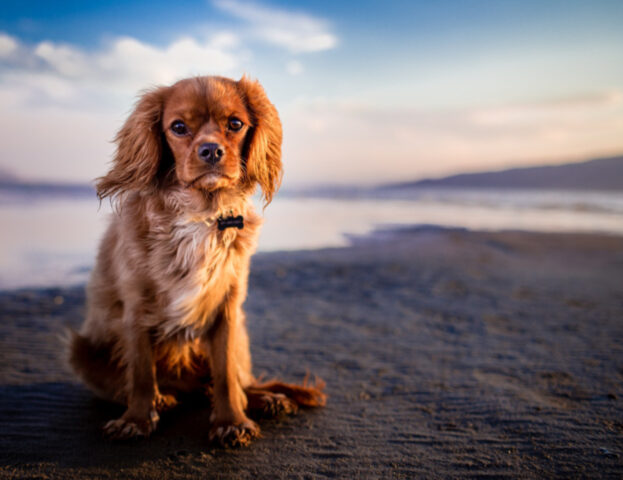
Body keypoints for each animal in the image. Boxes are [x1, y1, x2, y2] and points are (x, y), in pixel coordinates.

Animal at [69, 75, 326, 446]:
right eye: (178, 127)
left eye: (235, 124)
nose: (211, 150)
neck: (201, 214)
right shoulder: (136, 308)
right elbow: (142, 373)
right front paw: (136, 419)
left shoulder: (228, 307)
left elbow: (226, 375)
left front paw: (232, 421)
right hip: (82, 351)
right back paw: (163, 398)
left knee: (238, 382)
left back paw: (267, 398)